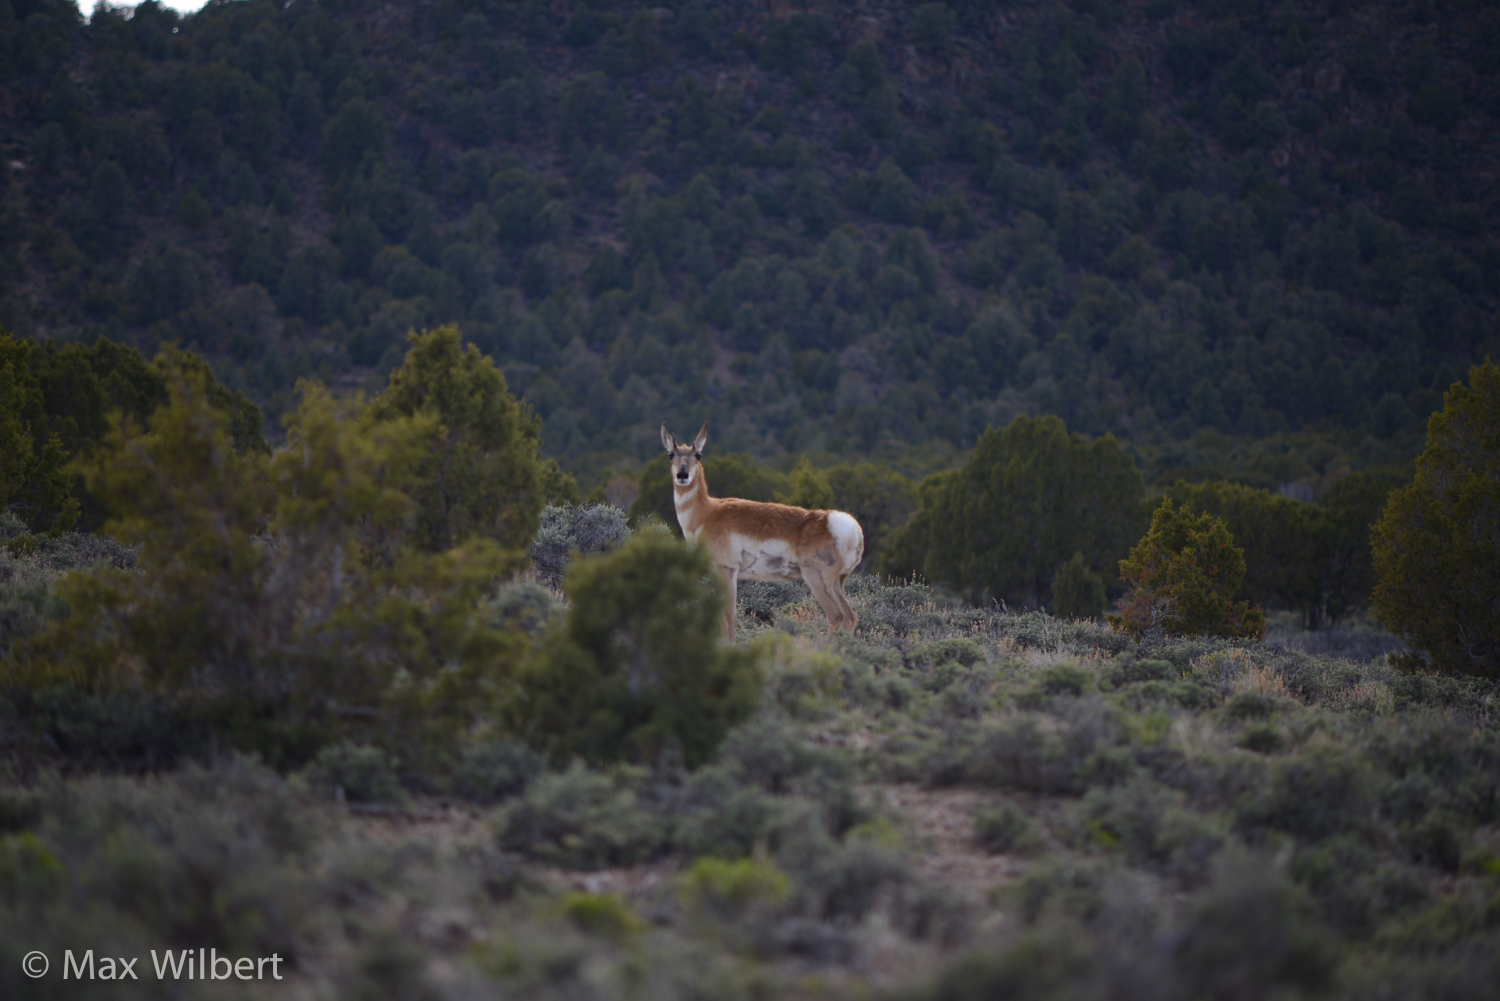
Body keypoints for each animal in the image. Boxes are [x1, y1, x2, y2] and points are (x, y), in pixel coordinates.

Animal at [660, 423, 870, 642]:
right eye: (670, 454)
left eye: (698, 454)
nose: (682, 475)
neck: (706, 513)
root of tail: (849, 527)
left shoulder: (727, 570)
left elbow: (728, 615)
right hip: (837, 582)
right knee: (850, 616)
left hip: (816, 577)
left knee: (836, 616)